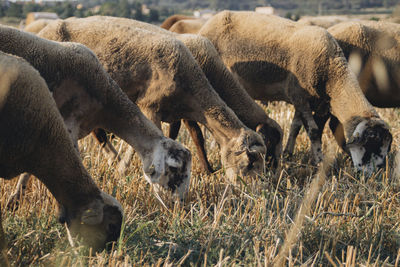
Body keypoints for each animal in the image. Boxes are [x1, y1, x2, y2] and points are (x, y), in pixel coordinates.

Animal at [198, 10, 392, 175]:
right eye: (371, 145)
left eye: (386, 148)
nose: (376, 175)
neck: (332, 74)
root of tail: (210, 23)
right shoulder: (299, 96)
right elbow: (313, 131)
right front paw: (319, 162)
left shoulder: (314, 102)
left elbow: (296, 127)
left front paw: (288, 154)